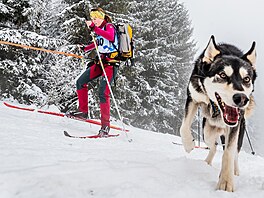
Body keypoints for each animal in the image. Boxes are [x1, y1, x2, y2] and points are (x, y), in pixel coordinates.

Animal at [180, 35, 256, 192]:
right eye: (222, 75)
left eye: (246, 79)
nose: (241, 99)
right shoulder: (192, 98)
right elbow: (183, 127)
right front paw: (189, 144)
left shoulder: (235, 125)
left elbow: (229, 152)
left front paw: (226, 181)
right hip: (207, 131)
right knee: (213, 146)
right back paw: (207, 162)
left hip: (239, 132)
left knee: (234, 153)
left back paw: (235, 170)